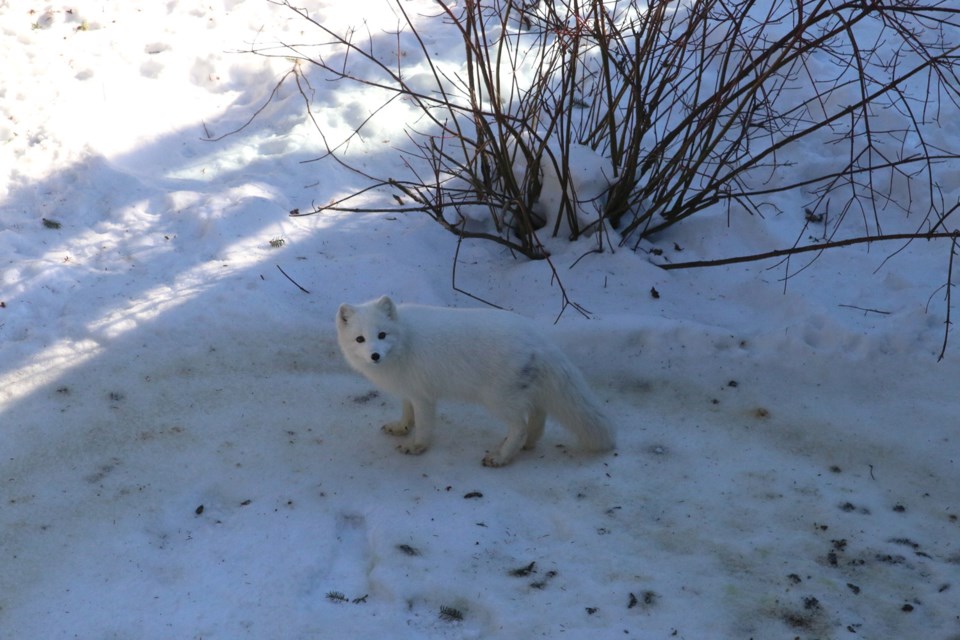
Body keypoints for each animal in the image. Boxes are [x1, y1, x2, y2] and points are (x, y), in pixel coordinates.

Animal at [334, 298, 612, 468]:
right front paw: (401, 427)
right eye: (360, 339)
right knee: (538, 414)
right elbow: (407, 413)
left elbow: (422, 425)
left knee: (520, 425)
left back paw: (501, 456)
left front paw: (416, 447)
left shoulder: (424, 396)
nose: (375, 356)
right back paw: (528, 444)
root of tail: (537, 337)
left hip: (497, 399)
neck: (405, 341)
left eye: (382, 335)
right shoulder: (408, 391)